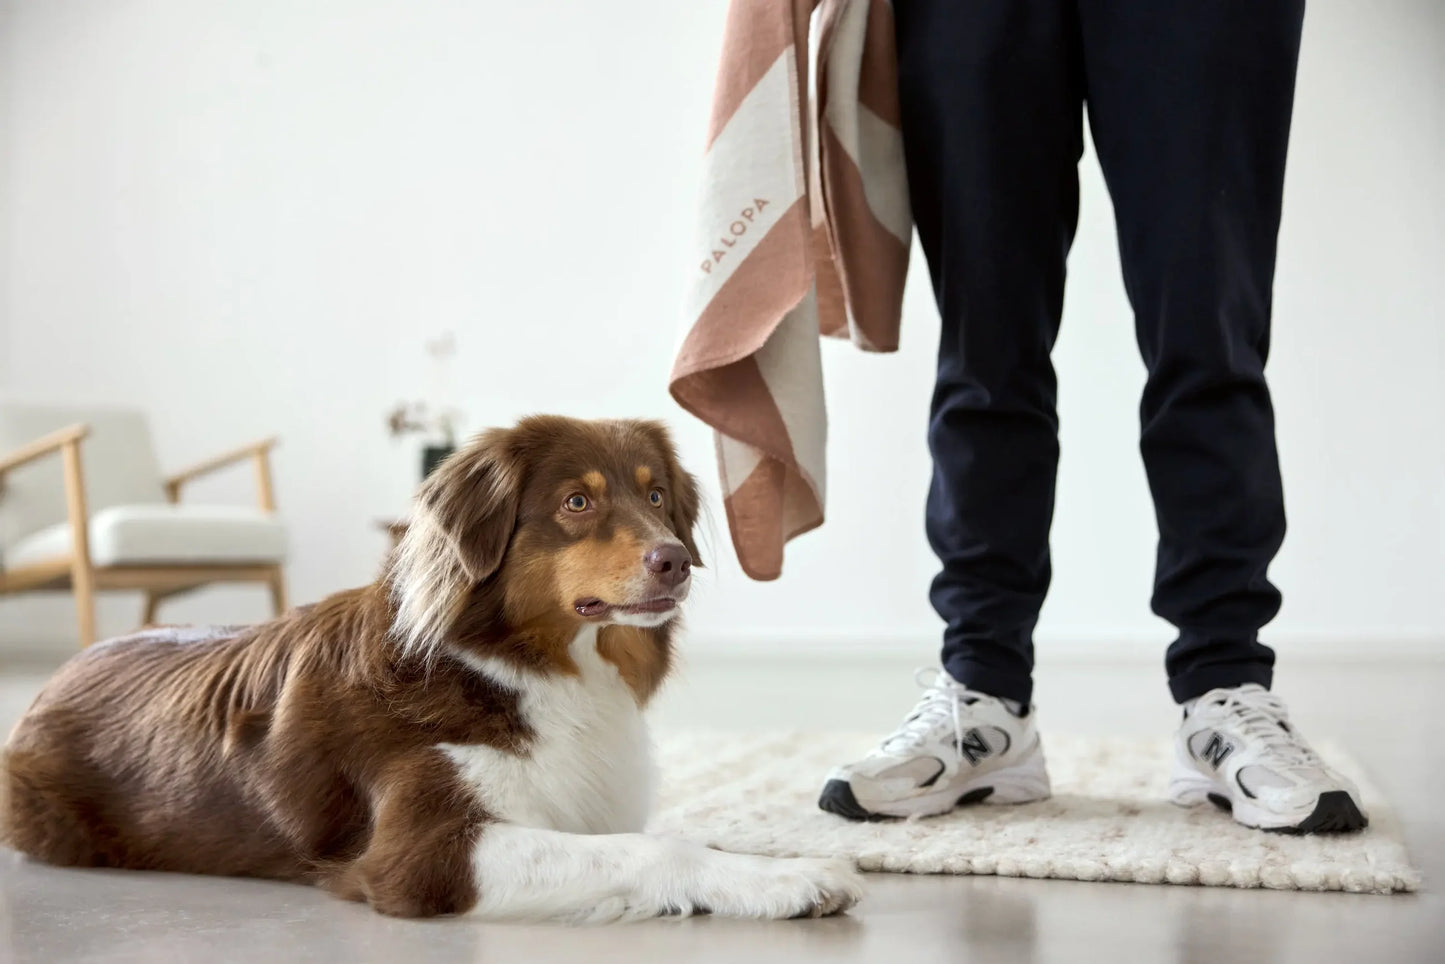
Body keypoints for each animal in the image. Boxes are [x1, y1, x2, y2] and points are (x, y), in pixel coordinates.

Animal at [0, 419, 861, 924]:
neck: (516, 667)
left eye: (655, 496)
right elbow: (657, 850)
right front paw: (793, 880)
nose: (674, 560)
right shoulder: (421, 855)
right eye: (577, 502)